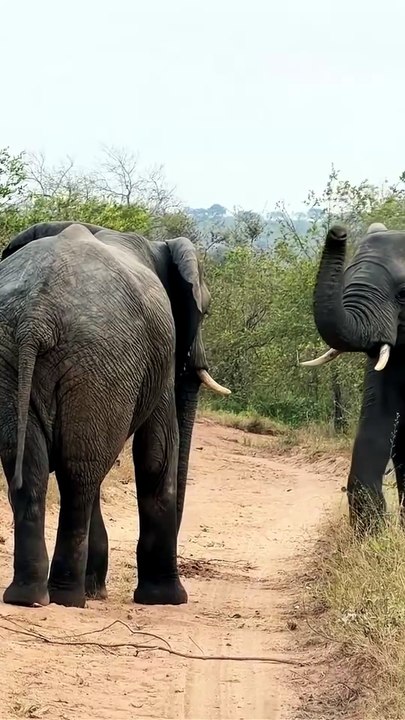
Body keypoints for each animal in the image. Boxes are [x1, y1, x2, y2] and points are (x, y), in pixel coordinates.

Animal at [0, 220, 230, 608]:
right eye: (206, 311)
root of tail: (36, 315)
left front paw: (100, 589)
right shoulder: (161, 356)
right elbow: (157, 451)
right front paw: (165, 599)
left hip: (22, 356)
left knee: (33, 467)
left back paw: (28, 597)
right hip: (98, 360)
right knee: (79, 474)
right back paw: (68, 598)